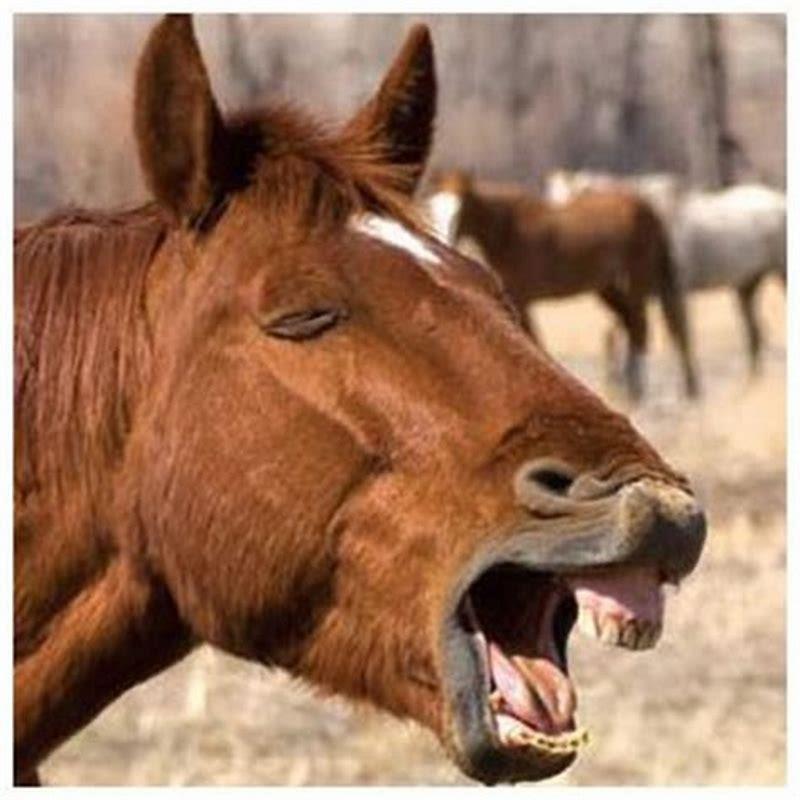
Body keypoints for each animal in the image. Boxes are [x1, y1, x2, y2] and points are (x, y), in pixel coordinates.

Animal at [427, 171, 700, 402]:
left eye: (460, 211)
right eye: (434, 207)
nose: (443, 243)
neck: (508, 232)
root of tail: (649, 210)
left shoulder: (521, 299)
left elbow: (535, 344)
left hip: (636, 281)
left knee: (640, 326)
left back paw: (637, 391)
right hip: (608, 289)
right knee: (631, 324)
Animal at [545, 170, 787, 375]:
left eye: (573, 202)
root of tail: (780, 201)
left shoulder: (673, 290)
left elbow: (679, 336)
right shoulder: (644, 294)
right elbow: (620, 333)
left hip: (780, 274)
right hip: (747, 285)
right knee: (754, 333)